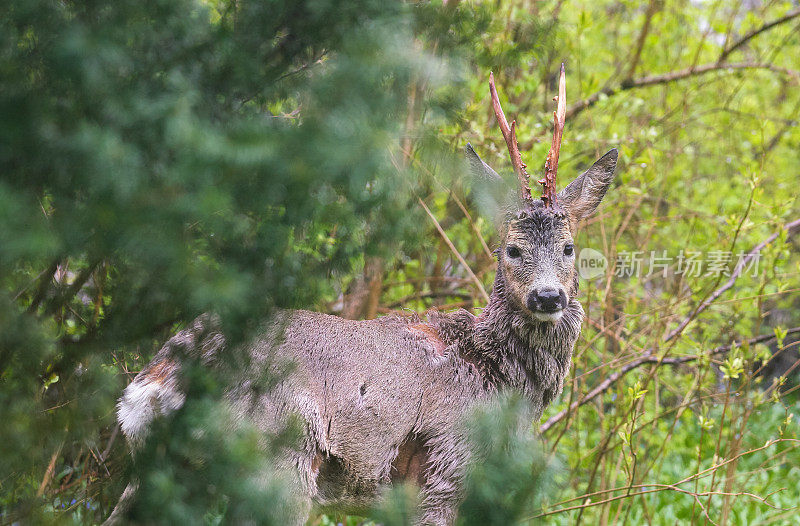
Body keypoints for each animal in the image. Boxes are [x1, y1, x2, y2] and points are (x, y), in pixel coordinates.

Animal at [106, 66, 620, 526]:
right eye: (511, 249)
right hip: (280, 460)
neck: (494, 374)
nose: (548, 296)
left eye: (568, 247)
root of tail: (154, 384)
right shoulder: (445, 474)